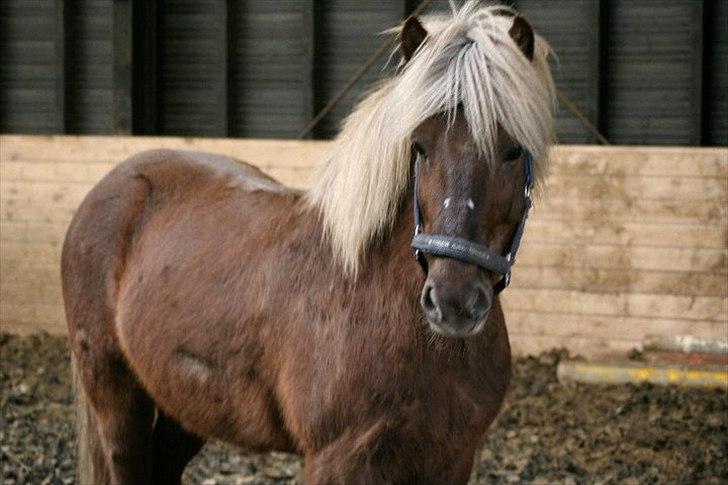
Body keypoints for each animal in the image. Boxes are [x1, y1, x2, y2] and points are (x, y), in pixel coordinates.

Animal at [62, 4, 556, 484]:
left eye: (513, 150)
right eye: (419, 146)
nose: (453, 303)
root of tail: (109, 186)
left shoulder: (452, 458)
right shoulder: (336, 459)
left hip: (186, 403)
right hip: (113, 389)